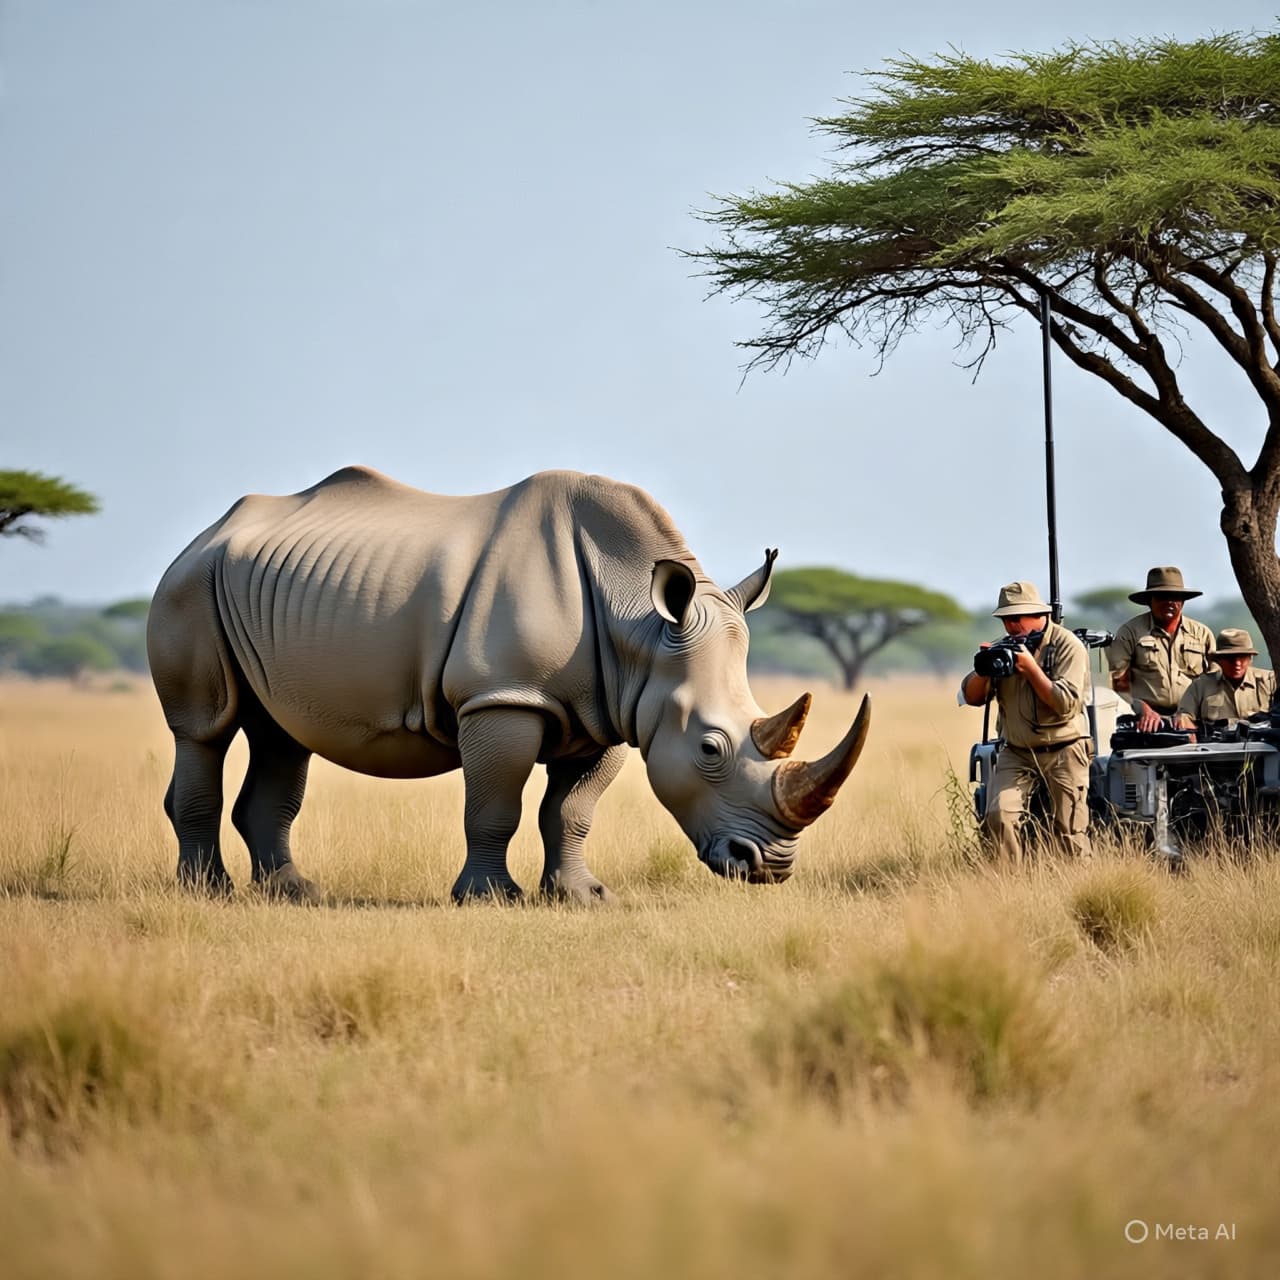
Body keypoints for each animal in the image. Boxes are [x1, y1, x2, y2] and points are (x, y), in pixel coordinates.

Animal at [146, 467, 870, 904]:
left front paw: (582, 897)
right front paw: (491, 898)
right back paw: (208, 893)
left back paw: (297, 892)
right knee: (204, 728)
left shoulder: (611, 710)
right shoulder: (503, 699)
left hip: (258, 589)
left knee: (281, 732)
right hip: (190, 585)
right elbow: (496, 803)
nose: (770, 867)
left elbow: (571, 811)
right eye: (710, 749)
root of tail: (207, 532)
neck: (639, 622)